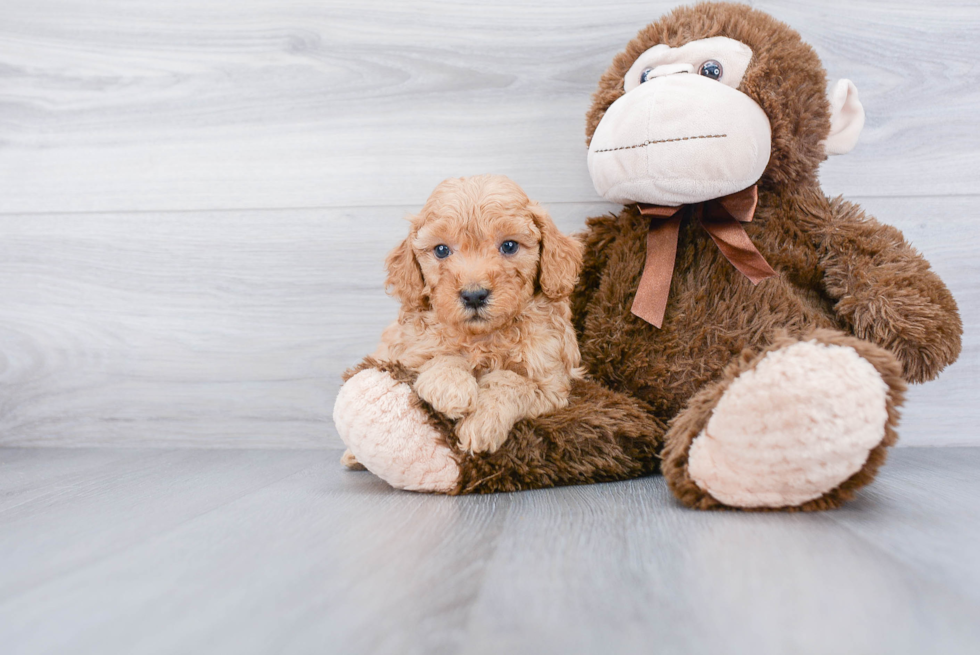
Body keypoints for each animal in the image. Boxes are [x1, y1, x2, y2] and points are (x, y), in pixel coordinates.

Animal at [372, 174, 580, 456]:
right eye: (441, 250)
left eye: (509, 246)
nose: (473, 295)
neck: (483, 338)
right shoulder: (408, 355)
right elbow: (439, 356)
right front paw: (452, 387)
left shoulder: (551, 385)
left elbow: (512, 382)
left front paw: (483, 421)